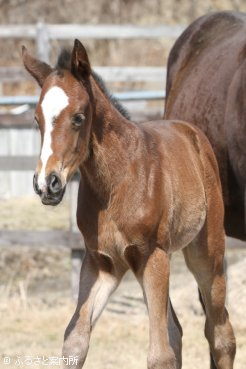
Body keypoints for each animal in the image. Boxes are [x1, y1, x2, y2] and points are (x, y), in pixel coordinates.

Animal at [22, 40, 235, 368]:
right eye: (37, 120)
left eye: (78, 117)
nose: (47, 183)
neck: (116, 182)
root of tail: (193, 134)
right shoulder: (102, 262)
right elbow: (75, 342)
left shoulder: (152, 255)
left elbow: (159, 355)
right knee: (177, 331)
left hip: (206, 253)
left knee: (220, 333)